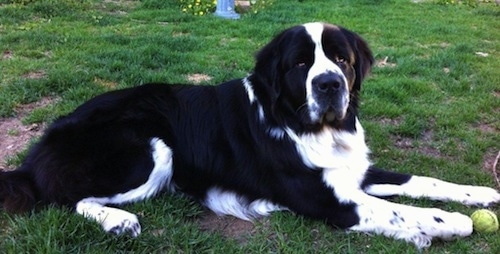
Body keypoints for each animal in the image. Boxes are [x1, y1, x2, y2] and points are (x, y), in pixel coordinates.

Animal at [0, 22, 500, 248]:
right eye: (300, 63)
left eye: (342, 59)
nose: (329, 84)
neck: (305, 124)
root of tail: (36, 151)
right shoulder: (327, 199)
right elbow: (400, 210)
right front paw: (449, 222)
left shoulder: (354, 171)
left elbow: (424, 180)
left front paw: (480, 194)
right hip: (151, 147)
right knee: (64, 198)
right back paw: (118, 221)